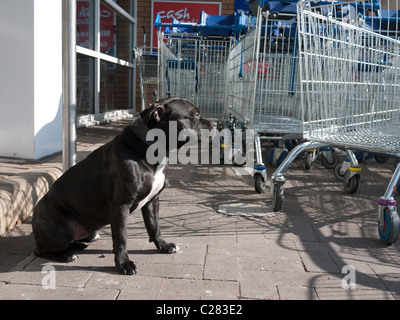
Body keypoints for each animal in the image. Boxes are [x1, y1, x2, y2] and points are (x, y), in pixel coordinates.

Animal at [32, 97, 214, 276]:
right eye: (195, 114)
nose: (214, 124)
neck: (149, 147)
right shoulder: (121, 206)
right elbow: (121, 238)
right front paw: (123, 264)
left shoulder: (152, 201)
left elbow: (154, 226)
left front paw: (163, 246)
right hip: (63, 228)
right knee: (41, 250)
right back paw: (66, 254)